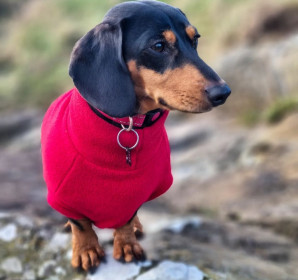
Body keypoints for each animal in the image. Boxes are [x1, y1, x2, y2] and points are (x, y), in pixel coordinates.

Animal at [40, 0, 230, 272]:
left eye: (195, 39)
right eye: (158, 46)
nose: (223, 92)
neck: (126, 125)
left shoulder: (136, 193)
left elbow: (127, 220)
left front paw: (127, 244)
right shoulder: (63, 194)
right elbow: (81, 224)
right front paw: (86, 250)